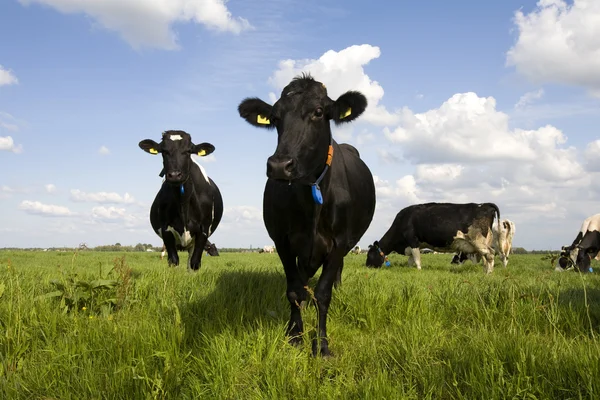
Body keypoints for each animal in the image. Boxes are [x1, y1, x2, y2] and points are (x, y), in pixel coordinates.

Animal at [139, 131, 224, 272]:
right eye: (164, 151)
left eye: (188, 151)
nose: (174, 175)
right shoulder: (166, 229)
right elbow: (173, 261)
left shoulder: (203, 229)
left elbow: (194, 263)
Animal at [368, 202, 500, 274]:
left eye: (369, 255)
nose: (367, 266)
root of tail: (484, 205)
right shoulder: (414, 245)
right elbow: (411, 260)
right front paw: (410, 269)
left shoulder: (412, 241)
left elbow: (416, 259)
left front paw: (419, 270)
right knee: (485, 257)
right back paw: (486, 270)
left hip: (477, 240)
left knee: (490, 254)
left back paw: (488, 273)